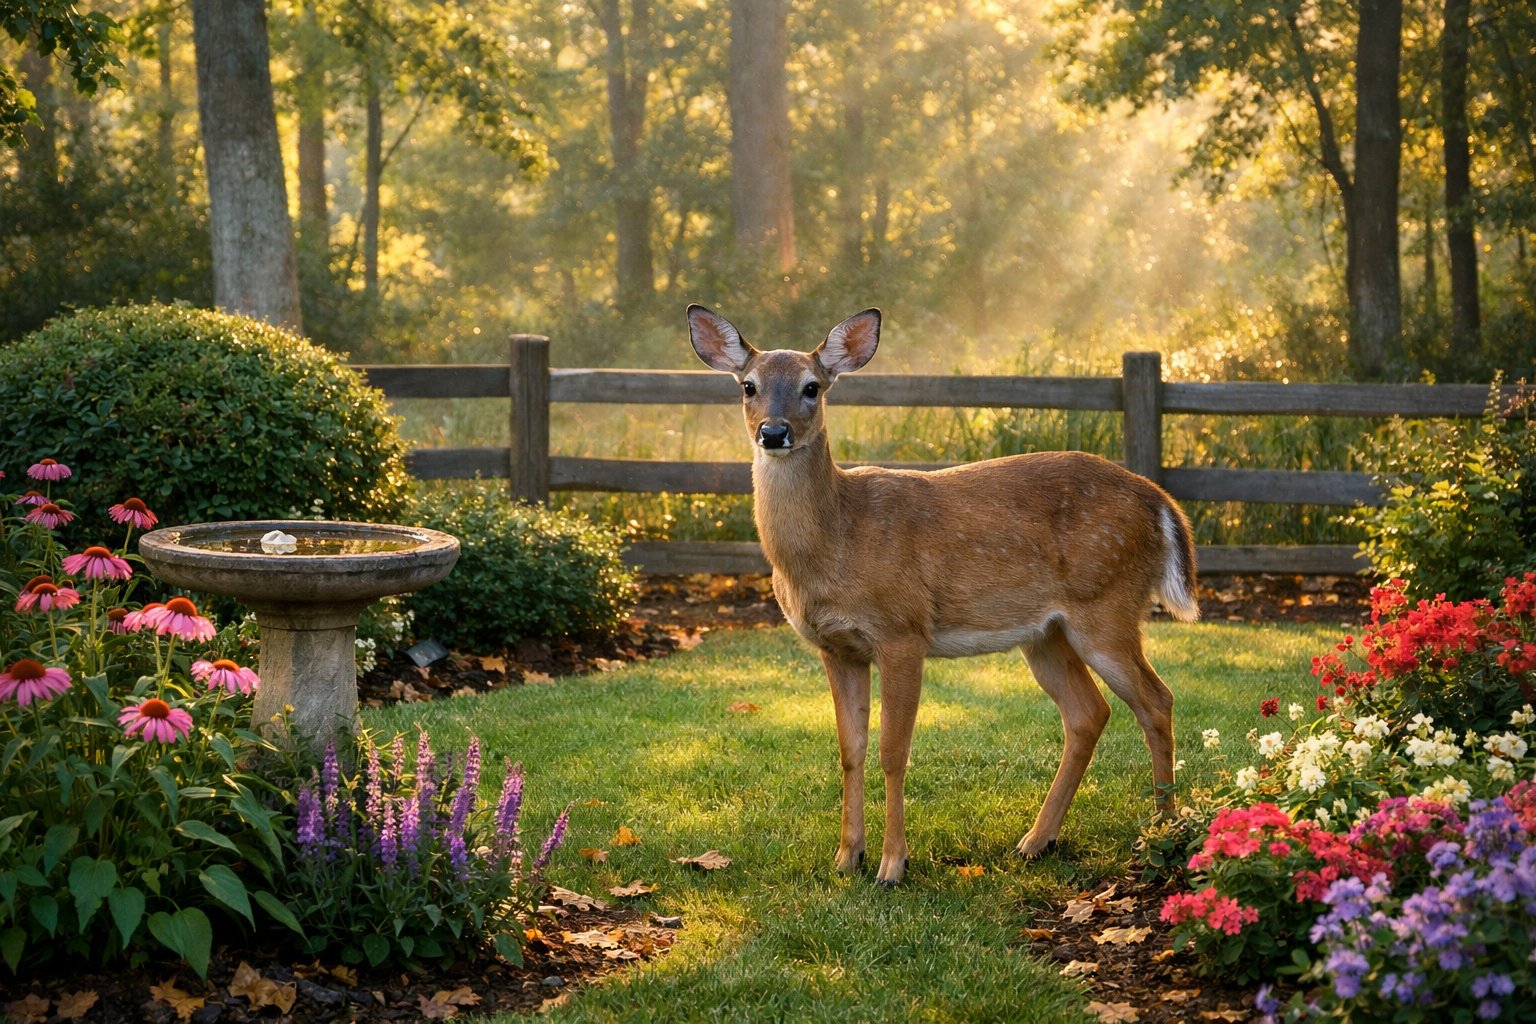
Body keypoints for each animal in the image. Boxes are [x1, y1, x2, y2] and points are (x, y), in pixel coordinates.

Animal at [686, 304, 1201, 886]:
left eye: (812, 386)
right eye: (747, 386)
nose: (774, 432)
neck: (835, 538)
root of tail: (1161, 502)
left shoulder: (902, 630)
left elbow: (893, 751)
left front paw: (892, 865)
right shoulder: (837, 647)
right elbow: (850, 750)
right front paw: (846, 858)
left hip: (1108, 604)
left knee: (1156, 700)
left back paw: (1162, 833)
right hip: (1046, 632)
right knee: (1089, 713)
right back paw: (1035, 841)